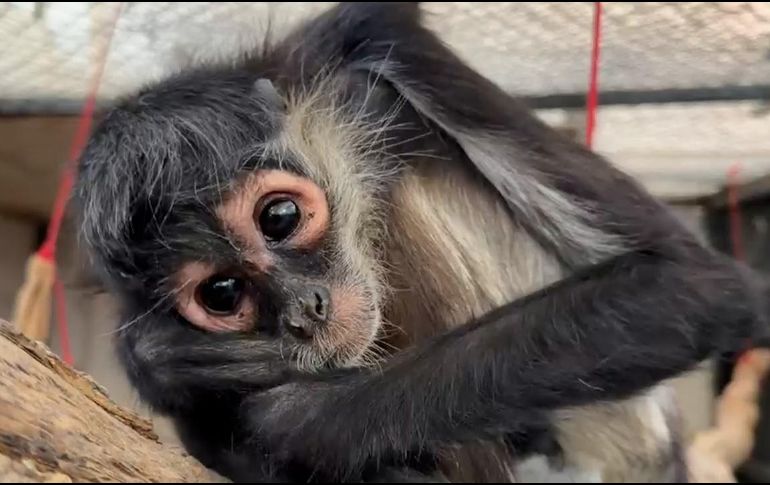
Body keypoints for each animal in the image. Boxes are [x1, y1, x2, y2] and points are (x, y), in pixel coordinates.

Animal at [72, 2, 769, 483]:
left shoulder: (373, 33)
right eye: (221, 292)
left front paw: (298, 424)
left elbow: (689, 283)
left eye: (279, 217)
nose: (305, 311)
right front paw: (163, 364)